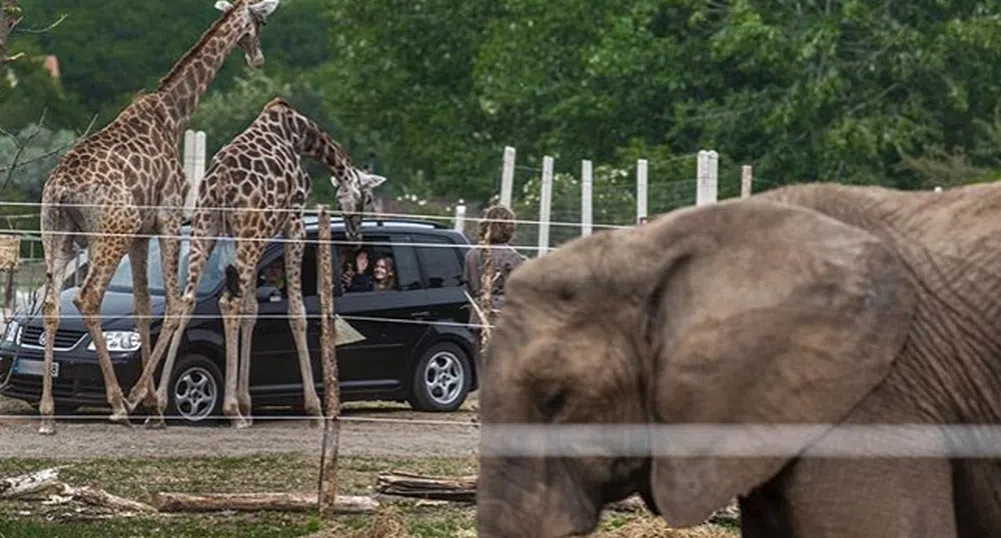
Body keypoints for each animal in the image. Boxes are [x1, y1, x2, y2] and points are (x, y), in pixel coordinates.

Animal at [35, 0, 284, 434]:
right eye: (262, 22)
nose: (258, 59)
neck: (174, 113)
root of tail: (61, 187)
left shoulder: (142, 233)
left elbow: (142, 306)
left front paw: (149, 398)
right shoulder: (168, 217)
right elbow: (173, 303)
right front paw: (148, 403)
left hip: (57, 233)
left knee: (51, 305)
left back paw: (48, 413)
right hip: (111, 232)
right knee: (88, 296)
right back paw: (118, 404)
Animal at [124, 97, 386, 428]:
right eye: (367, 199)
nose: (355, 237)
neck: (301, 134)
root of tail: (219, 185)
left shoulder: (255, 236)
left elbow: (252, 310)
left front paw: (247, 402)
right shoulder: (292, 223)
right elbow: (295, 312)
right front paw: (313, 409)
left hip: (207, 228)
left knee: (186, 300)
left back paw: (155, 404)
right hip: (245, 232)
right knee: (227, 302)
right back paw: (229, 411)